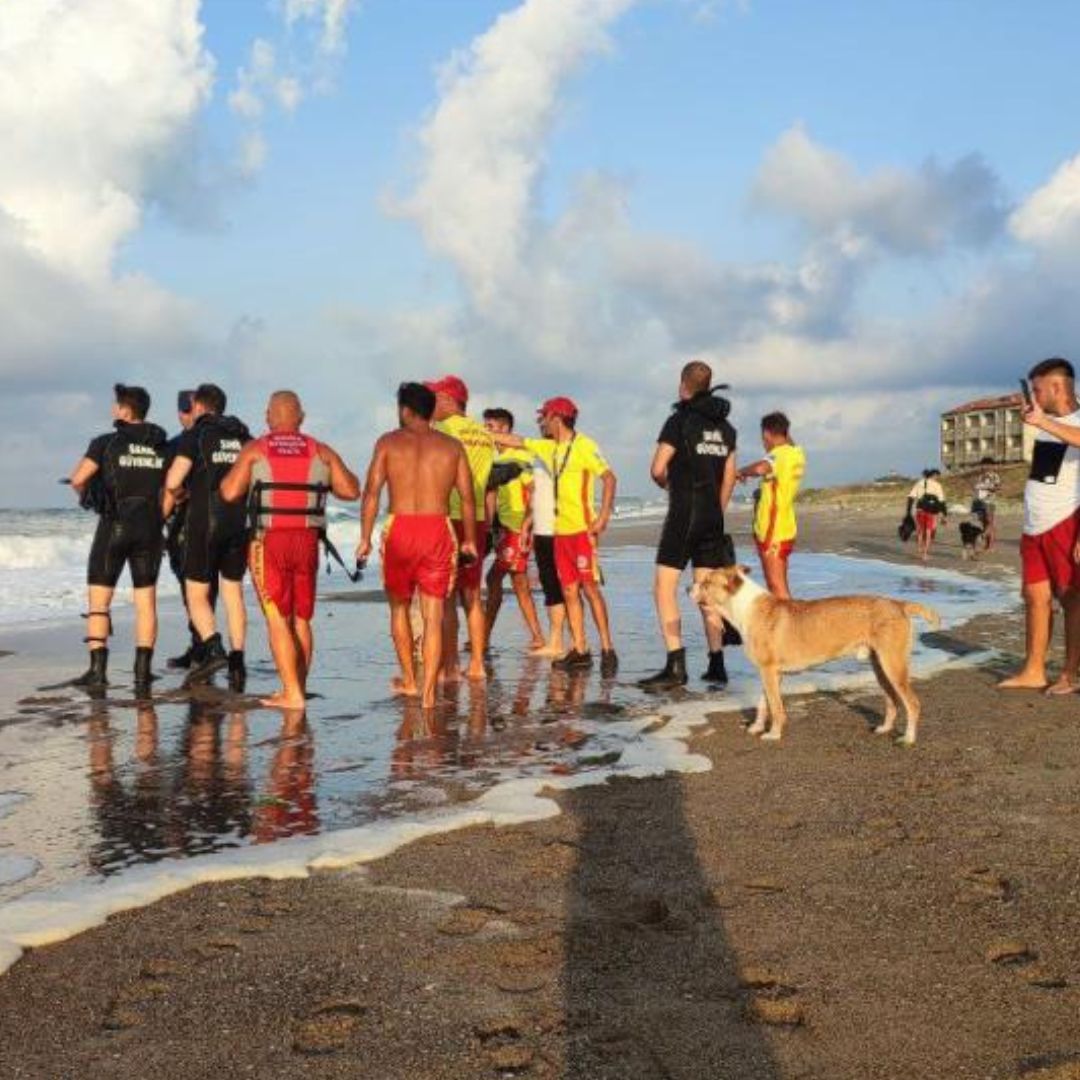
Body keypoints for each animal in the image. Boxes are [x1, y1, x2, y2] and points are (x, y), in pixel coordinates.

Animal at [691, 565, 937, 743]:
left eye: (706, 582)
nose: (687, 589)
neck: (747, 607)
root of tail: (899, 604)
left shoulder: (769, 671)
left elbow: (776, 707)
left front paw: (773, 734)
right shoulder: (770, 673)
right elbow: (764, 703)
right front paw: (757, 727)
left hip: (892, 666)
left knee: (913, 703)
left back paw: (908, 738)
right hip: (881, 667)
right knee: (893, 700)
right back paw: (885, 728)